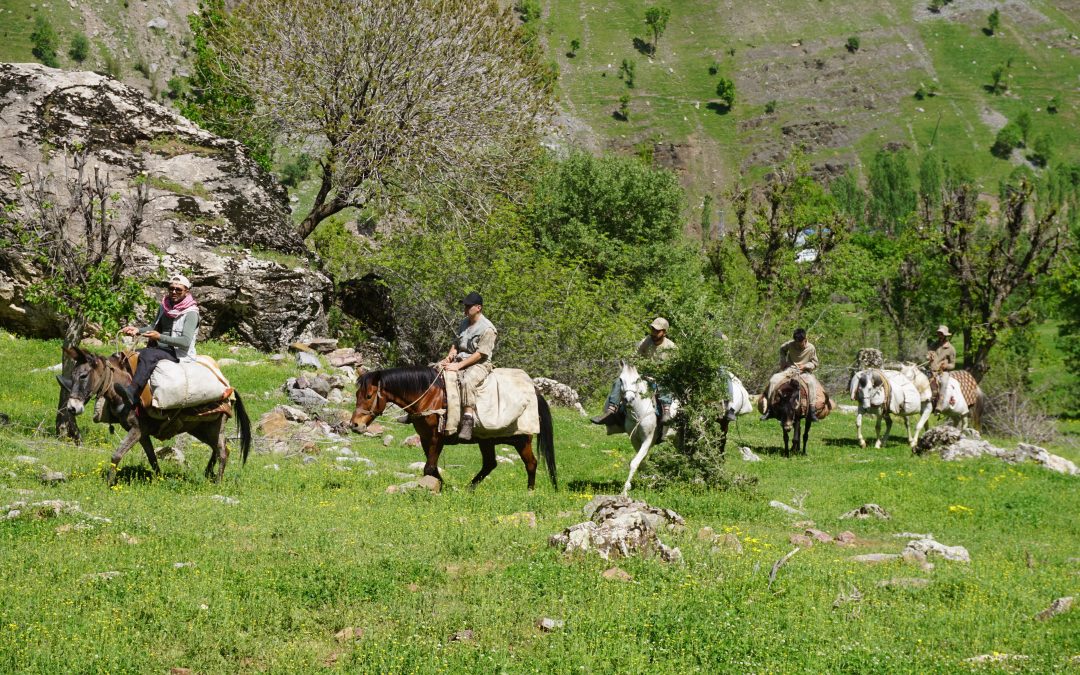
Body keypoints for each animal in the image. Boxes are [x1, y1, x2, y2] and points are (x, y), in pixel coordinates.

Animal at [59, 347, 252, 483]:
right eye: (72, 375)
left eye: (83, 375)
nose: (72, 408)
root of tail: (229, 389)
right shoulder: (142, 433)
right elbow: (152, 458)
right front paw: (158, 479)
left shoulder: (136, 430)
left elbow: (116, 455)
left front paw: (109, 483)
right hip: (200, 428)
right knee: (220, 448)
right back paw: (207, 474)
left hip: (214, 426)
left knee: (222, 452)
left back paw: (217, 482)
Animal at [349, 365, 557, 486]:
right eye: (357, 394)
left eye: (368, 395)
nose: (354, 425)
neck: (429, 396)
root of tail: (535, 394)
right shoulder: (425, 439)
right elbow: (432, 467)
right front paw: (441, 486)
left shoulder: (437, 438)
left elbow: (429, 467)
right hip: (487, 441)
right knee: (490, 464)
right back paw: (469, 488)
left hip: (522, 440)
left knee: (531, 464)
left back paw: (530, 491)